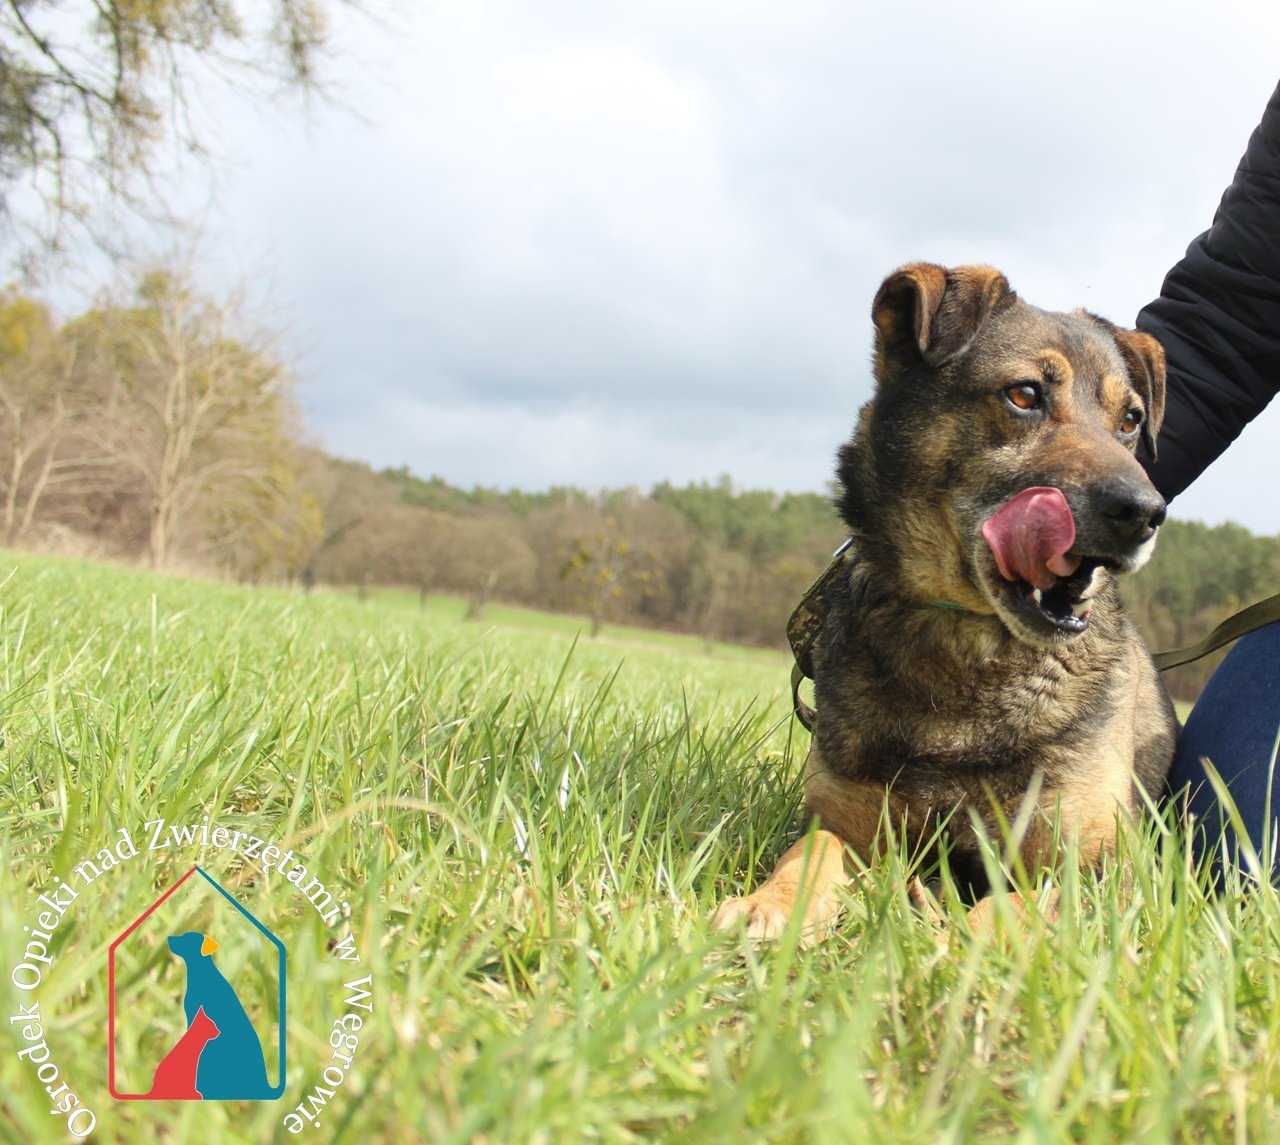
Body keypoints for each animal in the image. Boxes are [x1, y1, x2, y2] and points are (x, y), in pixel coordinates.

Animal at [716, 266, 1172, 941]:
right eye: (1025, 395)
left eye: (1131, 420)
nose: (1146, 513)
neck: (968, 645)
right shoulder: (846, 822)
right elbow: (810, 855)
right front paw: (768, 904)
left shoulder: (1098, 867)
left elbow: (1012, 907)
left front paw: (958, 941)